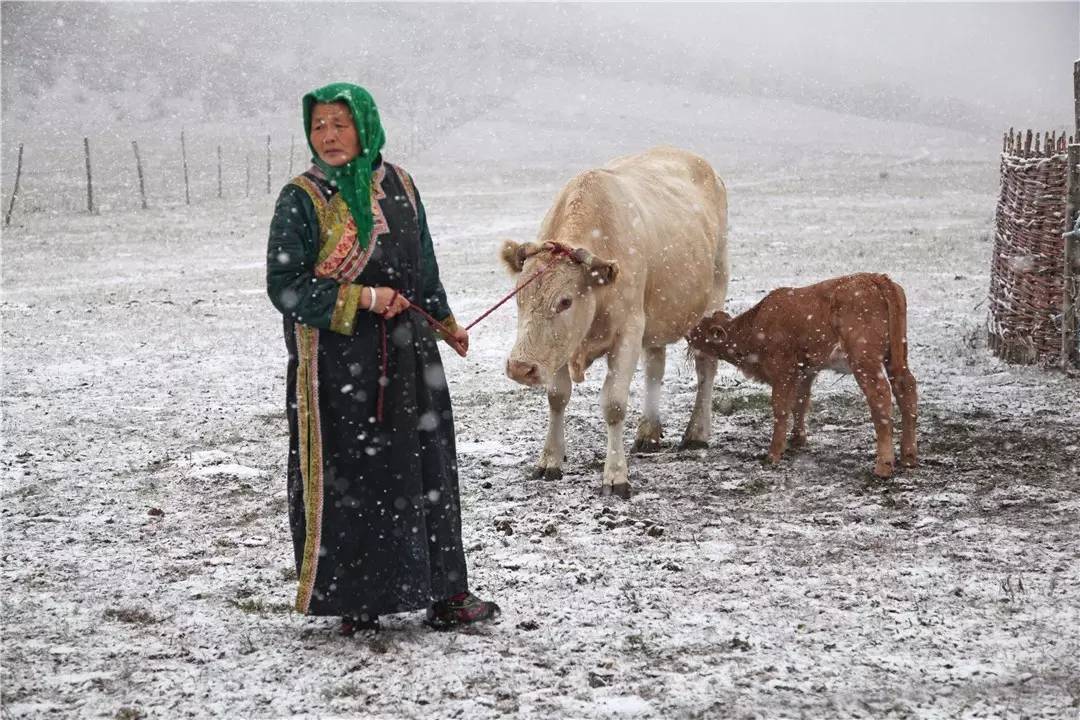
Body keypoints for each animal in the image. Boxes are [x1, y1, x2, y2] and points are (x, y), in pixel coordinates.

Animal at [686, 273, 915, 474]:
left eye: (699, 329)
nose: (686, 332)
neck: (755, 326)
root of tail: (876, 278)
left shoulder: (783, 371)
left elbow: (780, 409)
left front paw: (773, 454)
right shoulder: (805, 371)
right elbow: (800, 402)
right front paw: (796, 439)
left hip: (865, 360)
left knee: (881, 397)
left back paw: (883, 466)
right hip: (896, 357)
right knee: (907, 389)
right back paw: (909, 456)